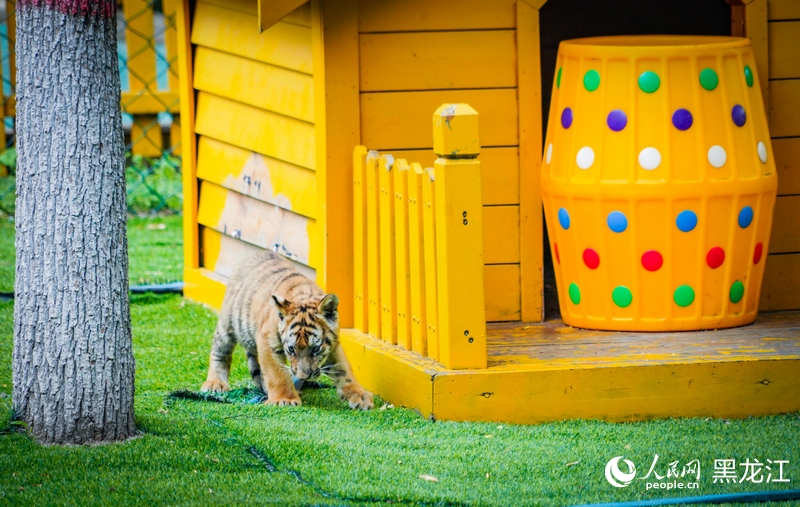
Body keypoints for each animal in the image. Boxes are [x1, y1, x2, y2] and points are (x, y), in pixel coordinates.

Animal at [200, 250, 374, 410]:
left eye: (315, 349)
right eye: (291, 349)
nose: (304, 376)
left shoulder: (332, 346)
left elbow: (344, 370)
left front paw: (360, 397)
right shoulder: (267, 341)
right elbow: (277, 374)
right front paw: (284, 399)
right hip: (227, 324)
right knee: (220, 352)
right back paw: (215, 383)